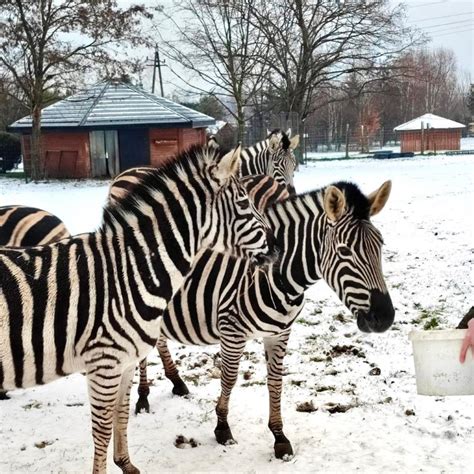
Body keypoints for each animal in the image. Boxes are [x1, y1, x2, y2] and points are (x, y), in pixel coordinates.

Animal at [0, 144, 276, 474]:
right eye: (244, 203)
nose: (276, 249)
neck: (129, 271)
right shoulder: (103, 364)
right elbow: (102, 429)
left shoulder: (125, 363)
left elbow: (121, 416)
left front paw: (127, 465)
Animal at [128, 176, 394, 458]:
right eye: (344, 251)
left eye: (380, 245)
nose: (385, 317)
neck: (278, 278)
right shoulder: (232, 330)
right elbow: (229, 378)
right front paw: (222, 428)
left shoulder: (280, 333)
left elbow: (275, 382)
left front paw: (279, 437)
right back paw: (143, 397)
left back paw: (175, 384)